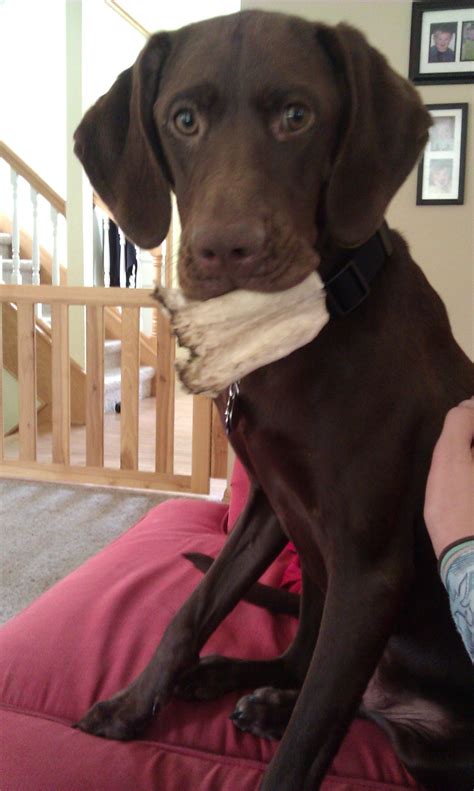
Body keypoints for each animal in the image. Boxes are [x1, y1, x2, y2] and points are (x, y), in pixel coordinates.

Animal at [74, 9, 474, 788]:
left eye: (297, 116)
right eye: (184, 119)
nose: (226, 251)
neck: (298, 332)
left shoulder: (369, 569)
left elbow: (308, 742)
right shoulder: (269, 504)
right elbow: (192, 609)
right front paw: (134, 704)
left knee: (335, 693)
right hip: (315, 568)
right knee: (303, 662)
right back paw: (239, 683)